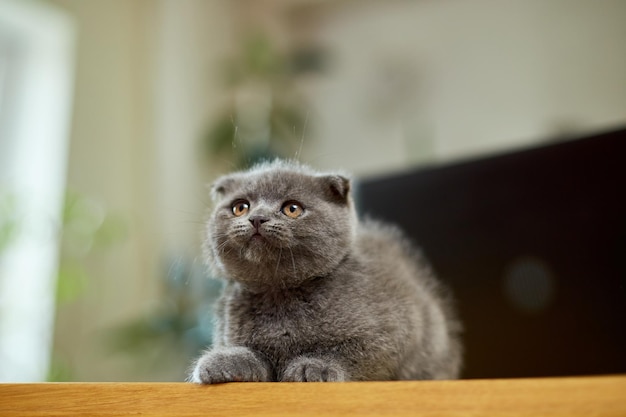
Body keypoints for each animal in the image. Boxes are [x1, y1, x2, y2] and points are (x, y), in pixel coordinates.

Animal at [188, 160, 460, 384]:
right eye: (240, 207)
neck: (279, 294)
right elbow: (252, 354)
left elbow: (351, 352)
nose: (257, 218)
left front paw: (314, 367)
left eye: (292, 209)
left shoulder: (395, 331)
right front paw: (223, 363)